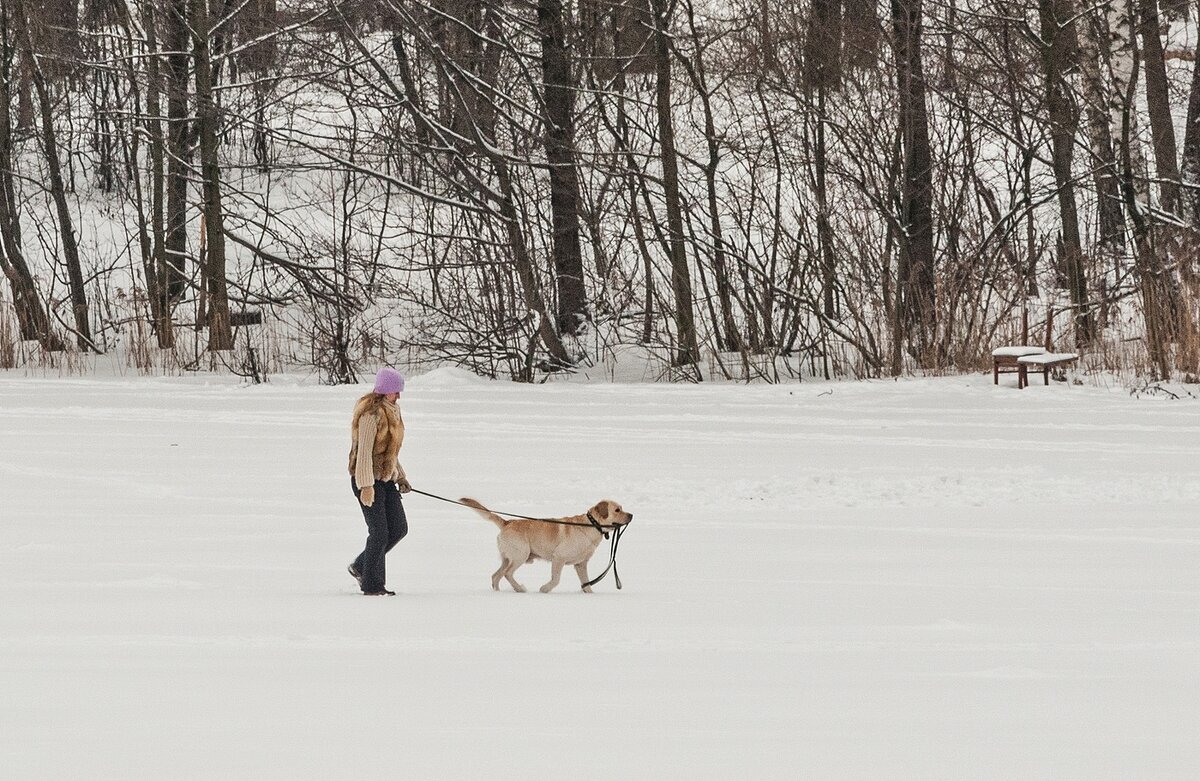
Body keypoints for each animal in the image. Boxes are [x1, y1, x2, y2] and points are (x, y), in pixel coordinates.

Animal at [453, 501, 633, 592]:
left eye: (622, 508)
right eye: (617, 510)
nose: (631, 515)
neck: (591, 525)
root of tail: (507, 522)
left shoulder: (581, 564)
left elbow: (586, 584)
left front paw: (590, 595)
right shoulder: (558, 558)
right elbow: (556, 580)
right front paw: (544, 589)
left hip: (508, 558)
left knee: (495, 576)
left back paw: (497, 592)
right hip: (521, 555)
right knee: (506, 574)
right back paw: (520, 589)